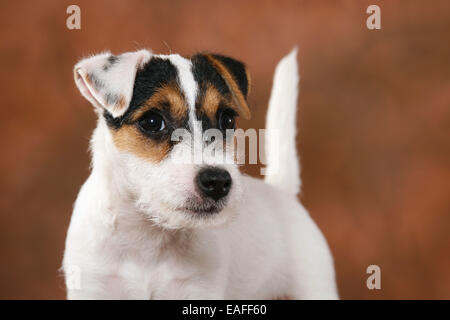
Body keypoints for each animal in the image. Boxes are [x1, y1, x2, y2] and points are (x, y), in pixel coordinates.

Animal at [62, 48, 338, 300]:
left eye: (227, 120)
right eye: (152, 121)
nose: (217, 182)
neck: (148, 239)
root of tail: (281, 192)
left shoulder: (198, 289)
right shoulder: (93, 286)